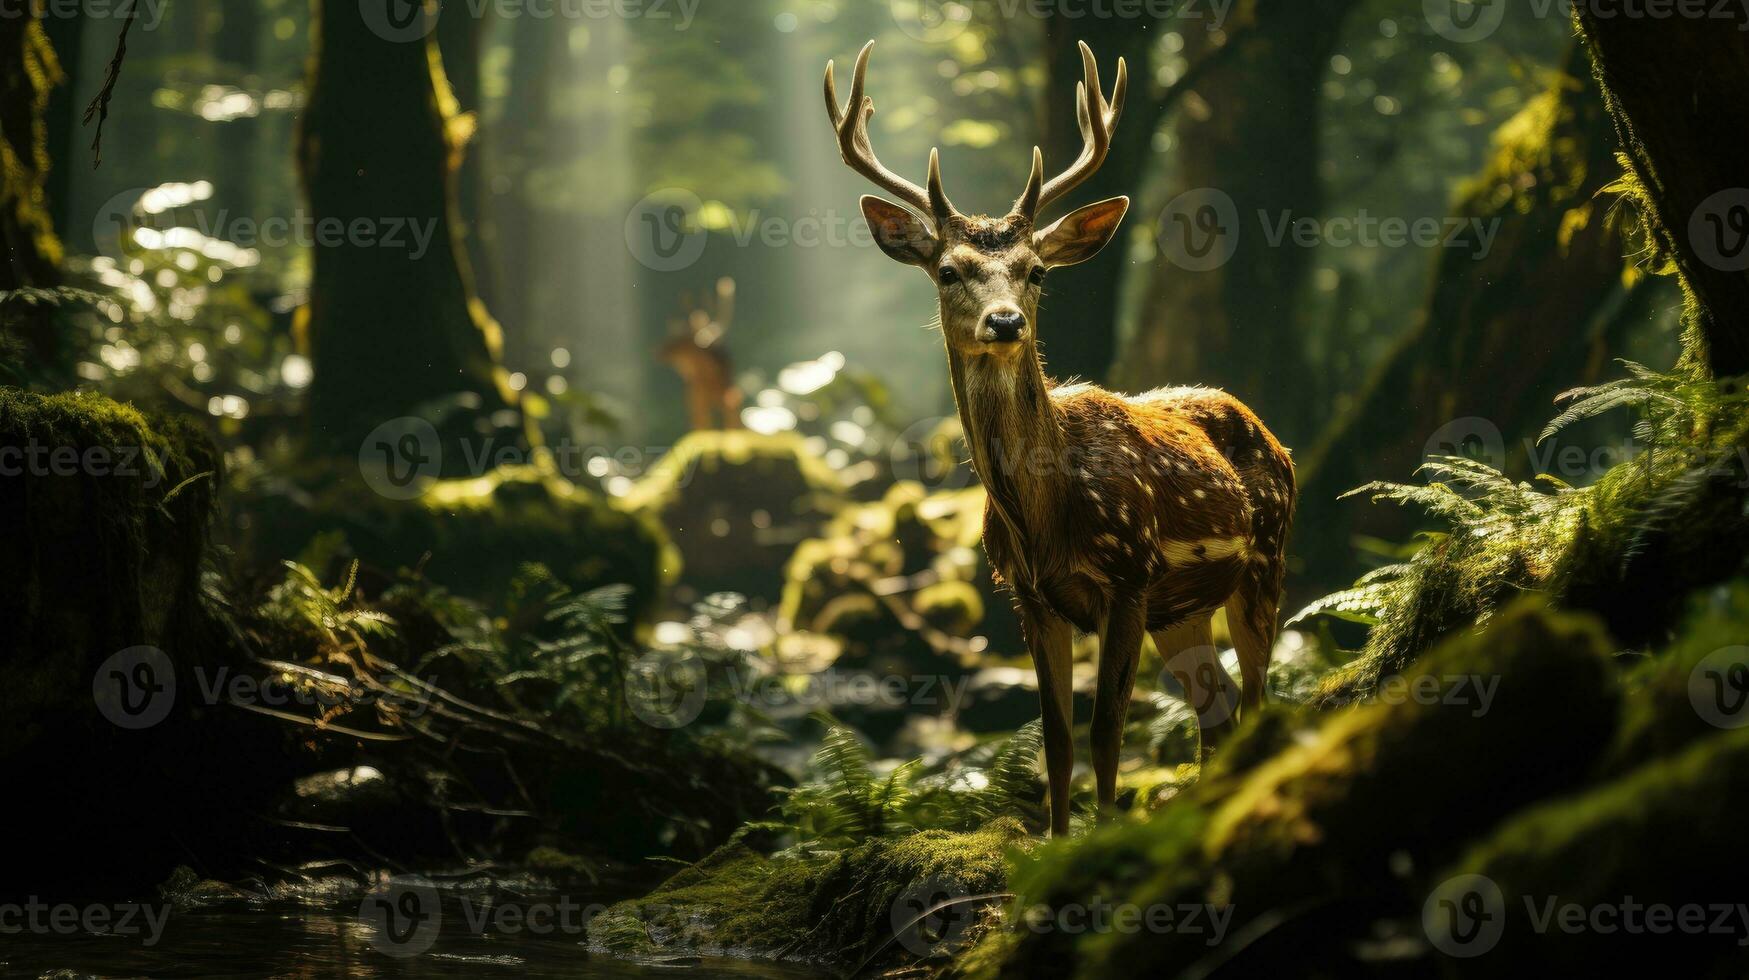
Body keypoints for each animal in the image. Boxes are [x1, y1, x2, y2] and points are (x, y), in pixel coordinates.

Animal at [822, 38, 1301, 833]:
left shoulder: (1129, 576)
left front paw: (1100, 834)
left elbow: (1106, 727)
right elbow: (1054, 736)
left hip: (1264, 558)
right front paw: (1053, 839)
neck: (1045, 518)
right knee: (1219, 711)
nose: (1005, 320)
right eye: (948, 270)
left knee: (1260, 696)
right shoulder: (1028, 596)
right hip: (1185, 608)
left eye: (1036, 270)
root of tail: (1275, 436)